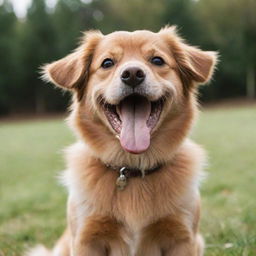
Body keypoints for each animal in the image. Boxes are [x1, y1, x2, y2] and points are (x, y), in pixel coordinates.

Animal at [27, 26, 216, 256]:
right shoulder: (86, 239)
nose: (132, 74)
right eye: (107, 63)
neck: (131, 167)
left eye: (157, 60)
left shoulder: (183, 238)